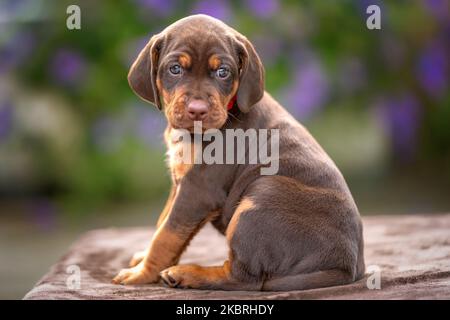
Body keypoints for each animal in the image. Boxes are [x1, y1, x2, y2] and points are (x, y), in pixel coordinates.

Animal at [112, 14, 366, 290]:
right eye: (175, 69)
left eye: (223, 72)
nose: (197, 110)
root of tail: (347, 266)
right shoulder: (180, 183)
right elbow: (164, 223)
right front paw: (143, 258)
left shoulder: (198, 190)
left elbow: (167, 234)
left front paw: (142, 272)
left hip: (262, 194)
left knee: (243, 278)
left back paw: (185, 273)